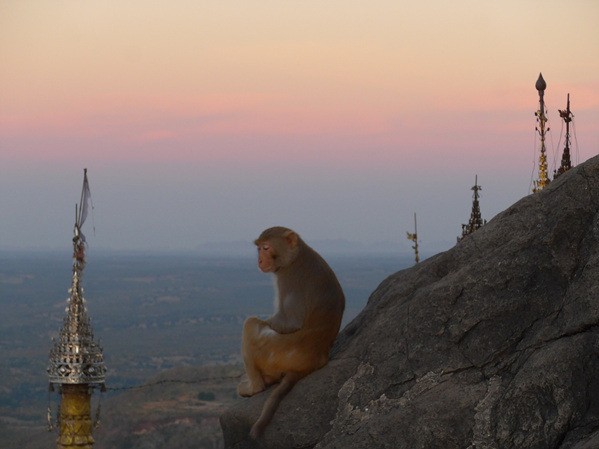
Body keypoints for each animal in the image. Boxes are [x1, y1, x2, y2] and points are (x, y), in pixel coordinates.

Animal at [237, 226, 344, 436]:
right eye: (259, 248)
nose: (259, 261)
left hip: (274, 353)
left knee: (250, 325)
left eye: (266, 248)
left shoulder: (288, 278)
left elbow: (290, 322)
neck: (295, 256)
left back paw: (256, 387)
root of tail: (313, 361)